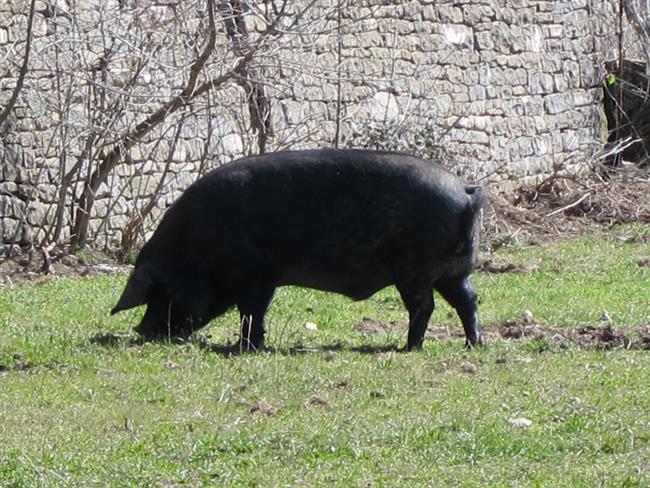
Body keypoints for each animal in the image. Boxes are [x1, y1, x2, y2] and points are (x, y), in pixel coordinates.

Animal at [111, 149, 486, 351]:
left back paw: (408, 347)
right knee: (468, 300)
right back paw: (473, 344)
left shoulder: (253, 276)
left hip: (416, 271)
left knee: (426, 307)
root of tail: (465, 192)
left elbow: (252, 312)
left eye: (162, 290)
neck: (195, 251)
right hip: (453, 271)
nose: (142, 331)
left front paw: (245, 348)